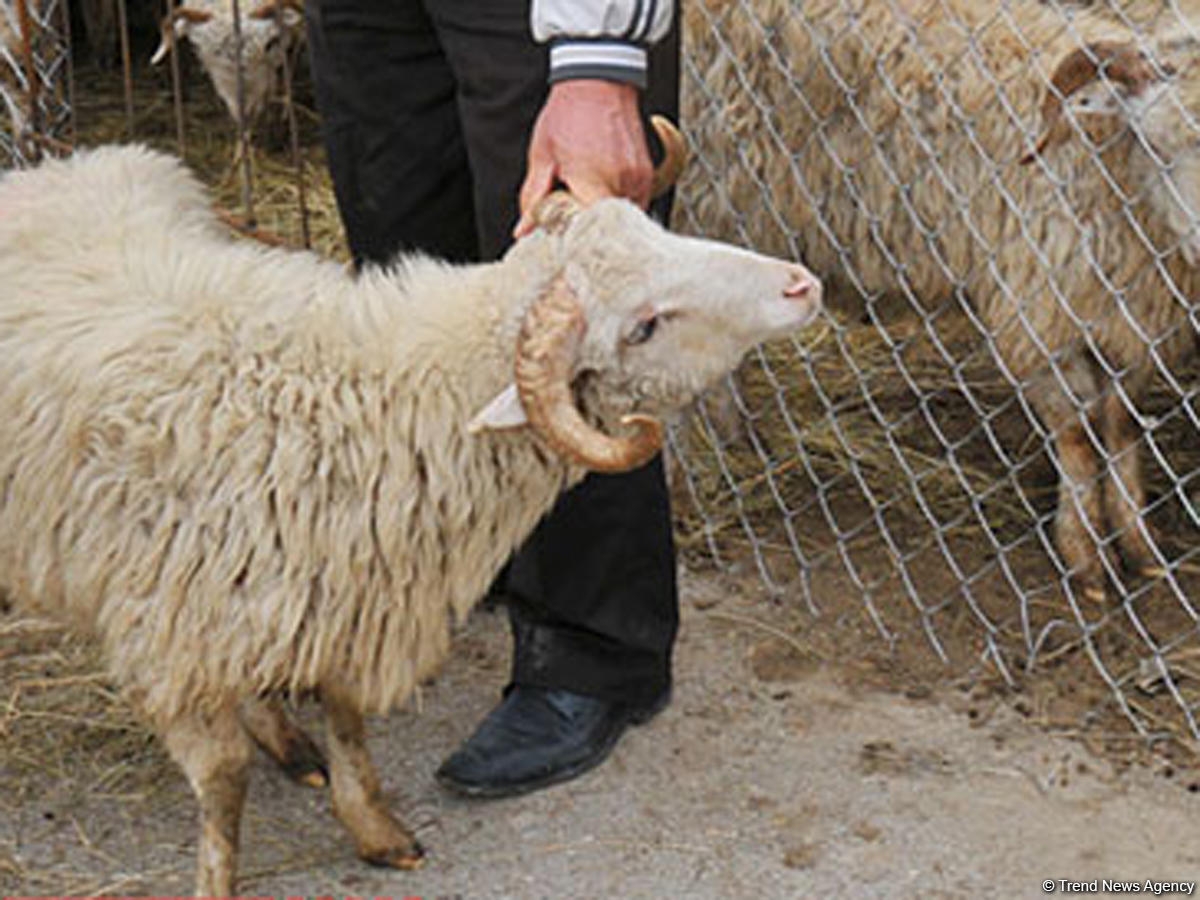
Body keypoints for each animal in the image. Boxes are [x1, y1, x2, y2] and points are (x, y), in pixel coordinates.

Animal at [0, 125, 820, 897]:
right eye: (644, 325)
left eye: (657, 228)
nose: (801, 285)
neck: (375, 396)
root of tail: (54, 167)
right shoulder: (169, 631)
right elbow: (226, 779)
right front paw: (220, 878)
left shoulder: (338, 593)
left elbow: (345, 720)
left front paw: (371, 824)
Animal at [686, 0, 1200, 607]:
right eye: (1159, 146)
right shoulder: (1035, 318)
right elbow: (1076, 433)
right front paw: (1086, 559)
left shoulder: (1134, 320)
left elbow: (1120, 426)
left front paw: (1140, 546)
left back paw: (740, 440)